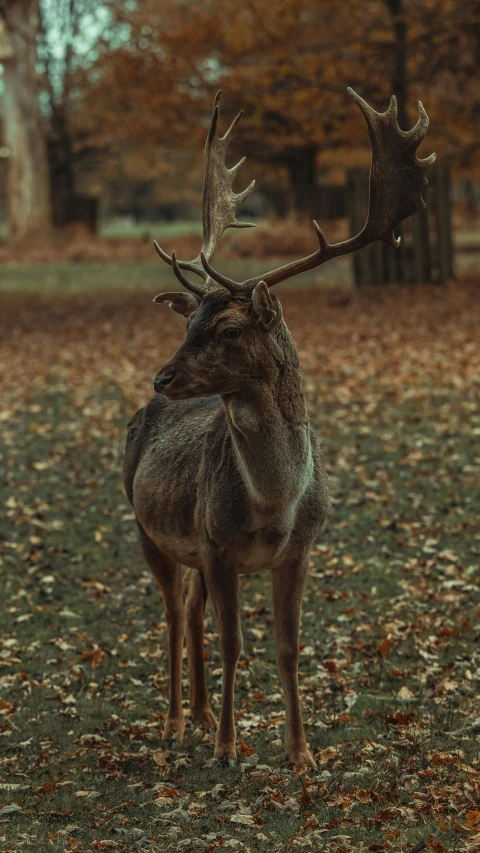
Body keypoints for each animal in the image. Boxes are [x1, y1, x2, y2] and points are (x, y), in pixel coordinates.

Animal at [124, 90, 436, 768]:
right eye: (189, 325)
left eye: (228, 329)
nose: (162, 377)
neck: (274, 506)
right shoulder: (216, 544)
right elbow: (235, 643)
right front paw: (227, 749)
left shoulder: (300, 549)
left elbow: (288, 648)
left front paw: (300, 753)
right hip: (146, 526)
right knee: (171, 614)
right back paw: (176, 724)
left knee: (190, 610)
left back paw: (200, 714)